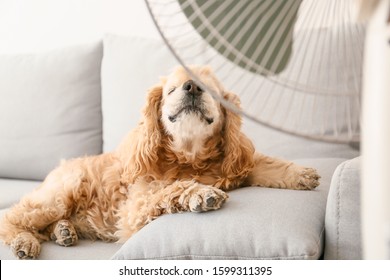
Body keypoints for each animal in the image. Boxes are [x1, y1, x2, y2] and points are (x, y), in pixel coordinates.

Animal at [0, 65, 320, 258]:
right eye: (172, 90)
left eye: (210, 89)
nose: (191, 87)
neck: (190, 157)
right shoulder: (135, 207)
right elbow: (171, 188)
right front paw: (201, 194)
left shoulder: (236, 163)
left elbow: (266, 164)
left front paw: (302, 174)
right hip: (60, 193)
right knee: (12, 218)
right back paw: (25, 242)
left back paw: (64, 232)